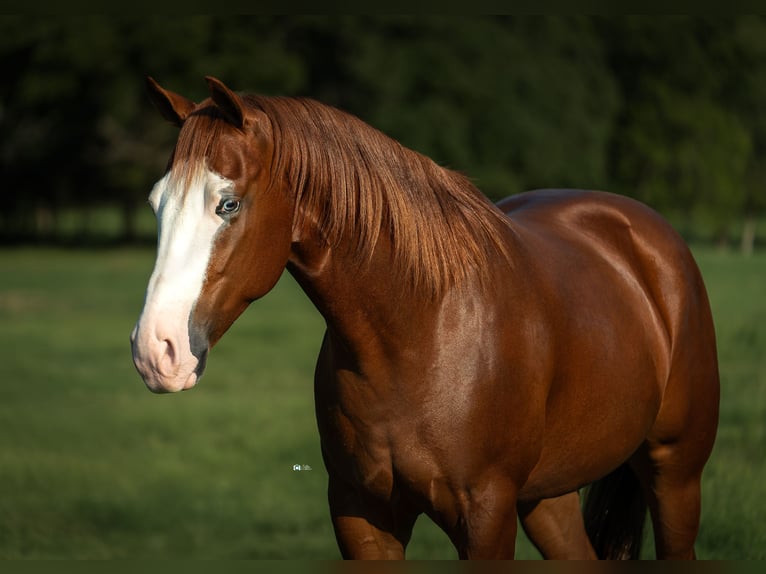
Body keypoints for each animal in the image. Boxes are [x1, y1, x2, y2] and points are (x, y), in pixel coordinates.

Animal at [130, 76, 720, 560]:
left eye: (227, 204)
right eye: (157, 203)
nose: (155, 350)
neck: (419, 333)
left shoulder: (485, 517)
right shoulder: (361, 514)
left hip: (675, 473)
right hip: (548, 497)